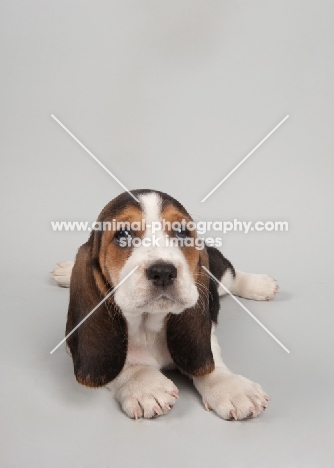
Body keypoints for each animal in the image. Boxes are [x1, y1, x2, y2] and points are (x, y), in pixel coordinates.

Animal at [51, 190, 276, 420]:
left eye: (182, 232)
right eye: (123, 235)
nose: (163, 271)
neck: (147, 322)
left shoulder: (208, 331)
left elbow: (211, 358)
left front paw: (229, 387)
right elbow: (124, 363)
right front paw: (145, 384)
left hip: (220, 272)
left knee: (233, 275)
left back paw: (261, 285)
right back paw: (67, 270)